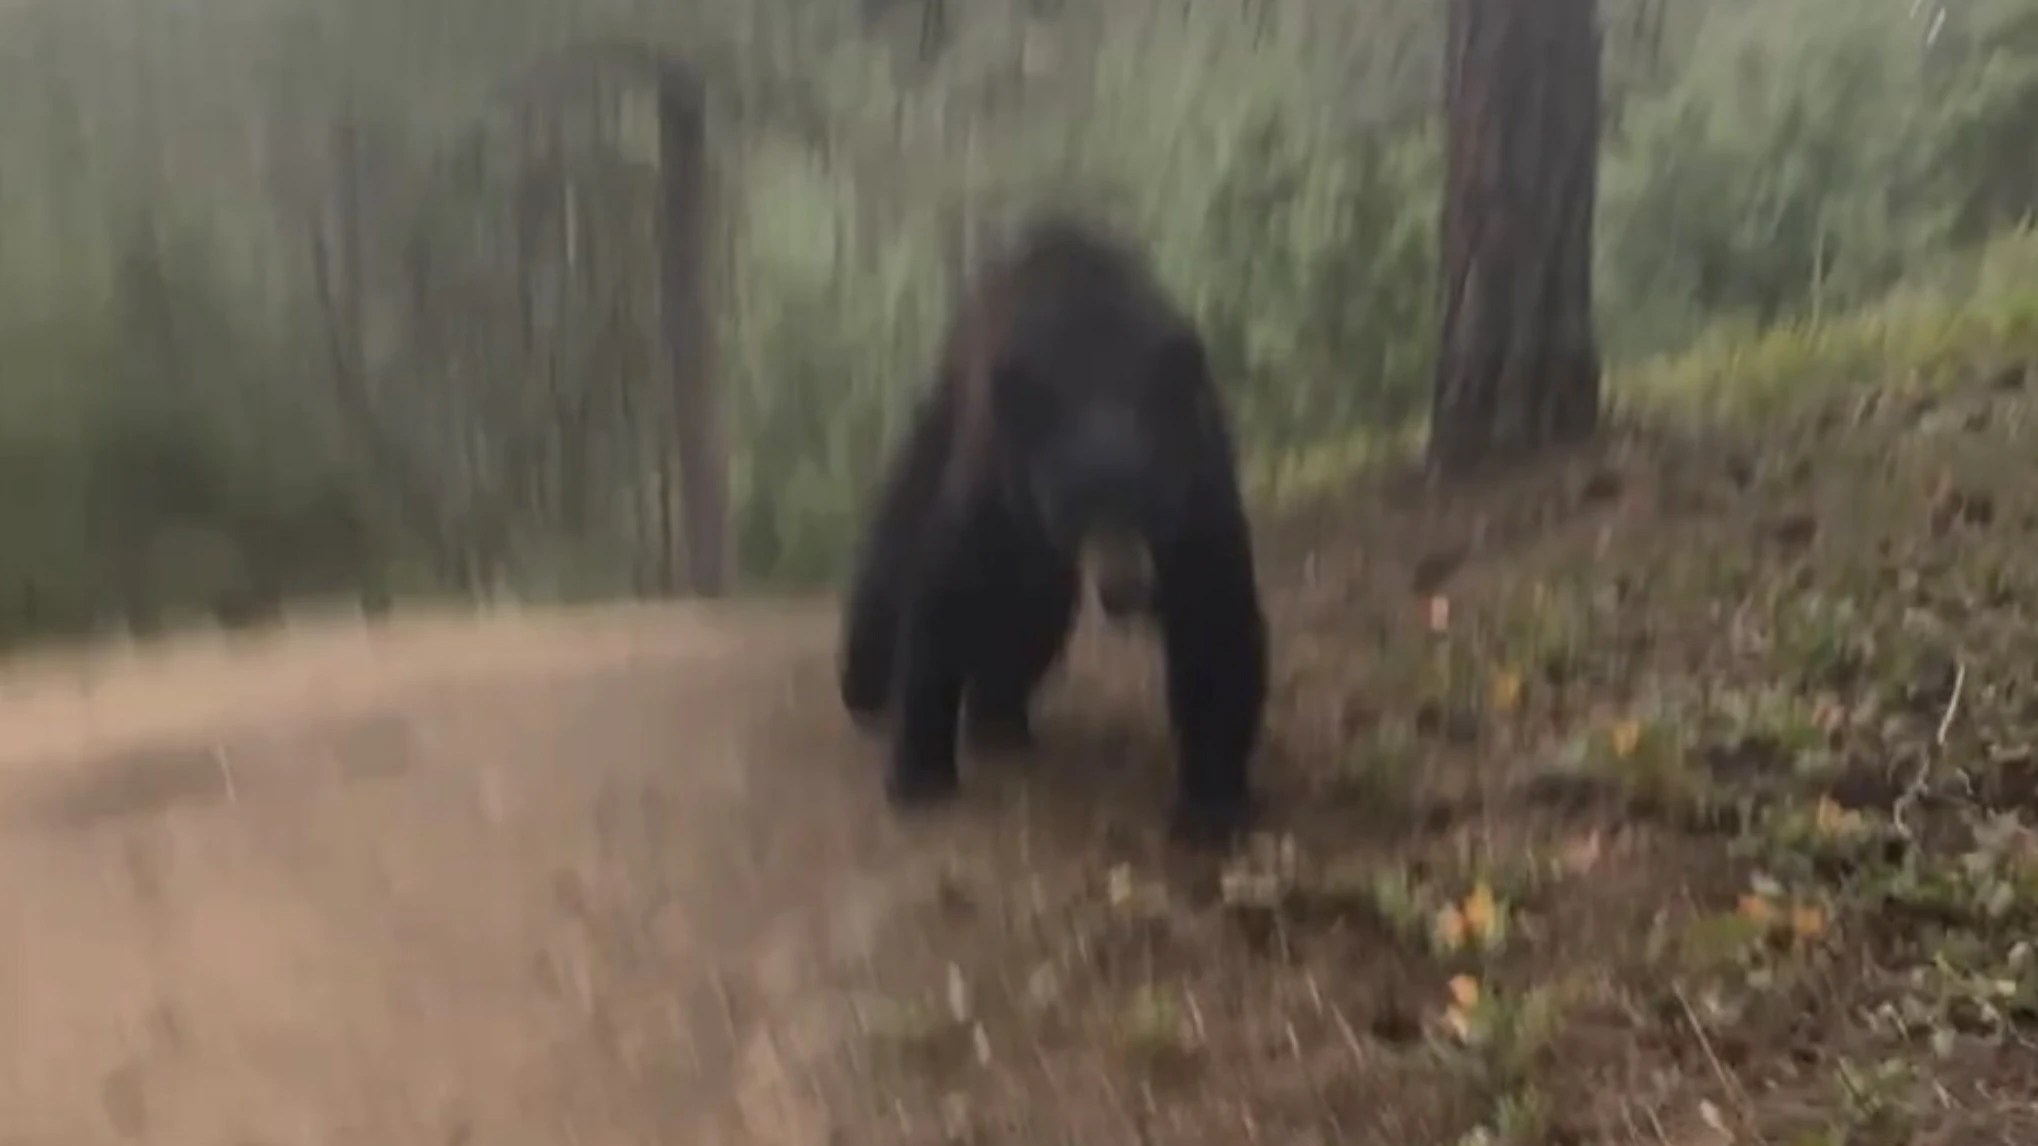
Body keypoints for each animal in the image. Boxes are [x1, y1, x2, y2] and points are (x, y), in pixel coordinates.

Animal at [837, 213, 1269, 845]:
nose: (1127, 589)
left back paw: (999, 715)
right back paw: (869, 692)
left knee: (1034, 613)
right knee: (894, 543)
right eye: (1081, 501)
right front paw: (919, 774)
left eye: (1148, 497)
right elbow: (946, 588)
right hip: (944, 422)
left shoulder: (1198, 474)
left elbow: (1214, 608)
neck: (1096, 357)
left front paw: (1212, 800)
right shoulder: (996, 473)